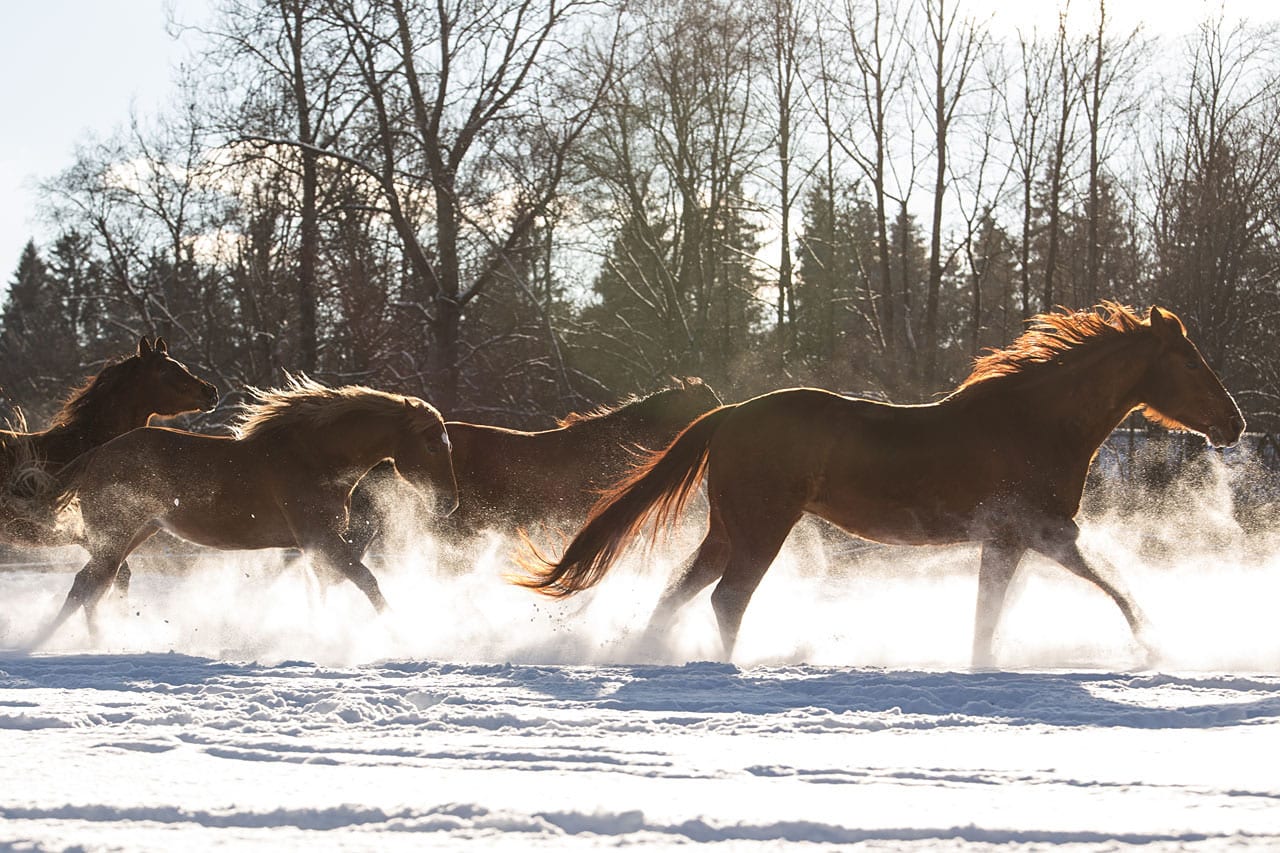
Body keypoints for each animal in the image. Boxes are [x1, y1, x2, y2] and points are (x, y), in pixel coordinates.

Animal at [27, 376, 460, 648]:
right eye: (432, 445)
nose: (450, 502)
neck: (313, 456)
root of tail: (97, 454)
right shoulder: (319, 538)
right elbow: (365, 581)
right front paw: (400, 634)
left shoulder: (314, 545)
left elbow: (325, 587)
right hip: (117, 537)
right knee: (88, 586)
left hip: (134, 534)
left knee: (91, 585)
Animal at [514, 303, 1244, 666]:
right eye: (1189, 361)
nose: (1234, 423)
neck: (1038, 423)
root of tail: (730, 414)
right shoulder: (1037, 533)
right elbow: (1113, 589)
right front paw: (1157, 644)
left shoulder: (1014, 541)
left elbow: (994, 612)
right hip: (762, 528)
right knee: (727, 599)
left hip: (728, 528)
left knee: (680, 592)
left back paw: (652, 654)